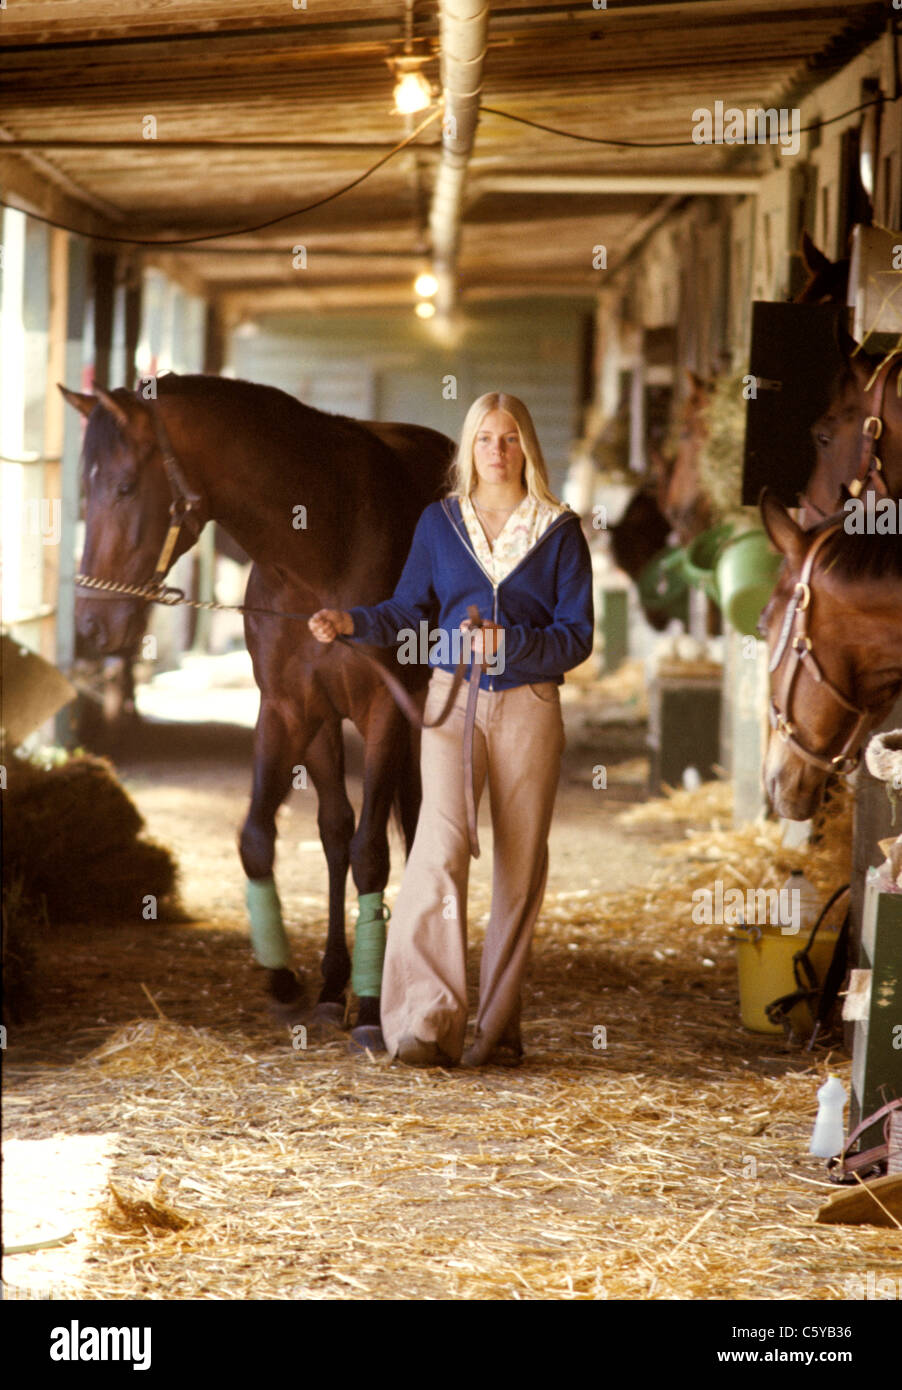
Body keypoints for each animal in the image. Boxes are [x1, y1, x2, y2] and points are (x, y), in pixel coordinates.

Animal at [61, 375, 458, 1045]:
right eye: (84, 491)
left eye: (124, 486)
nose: (91, 625)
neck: (324, 547)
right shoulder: (289, 711)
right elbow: (260, 838)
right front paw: (286, 979)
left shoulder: (385, 711)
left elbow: (371, 854)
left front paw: (370, 1009)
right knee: (335, 831)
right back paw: (333, 984)